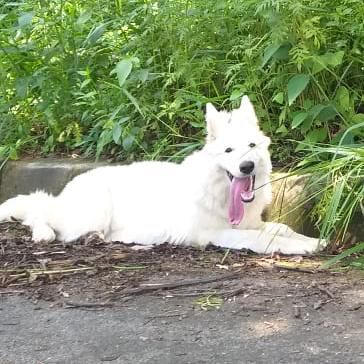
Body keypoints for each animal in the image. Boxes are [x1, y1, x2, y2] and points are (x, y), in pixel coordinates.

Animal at [0, 98, 324, 255]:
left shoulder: (252, 222)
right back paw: (43, 233)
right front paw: (303, 247)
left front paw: (310, 240)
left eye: (252, 147)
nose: (246, 167)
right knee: (40, 213)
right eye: (229, 150)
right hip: (92, 212)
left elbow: (281, 228)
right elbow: (264, 239)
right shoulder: (214, 233)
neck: (218, 191)